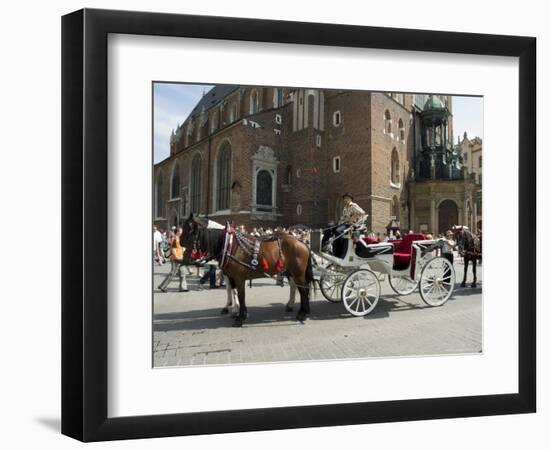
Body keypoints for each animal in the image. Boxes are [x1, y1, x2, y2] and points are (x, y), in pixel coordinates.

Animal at [182, 215, 314, 326]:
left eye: (190, 232)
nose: (183, 259)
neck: (230, 245)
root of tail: (301, 242)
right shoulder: (230, 276)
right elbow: (232, 291)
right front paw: (233, 309)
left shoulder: (239, 278)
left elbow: (240, 295)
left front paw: (239, 316)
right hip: (290, 271)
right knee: (297, 287)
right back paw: (298, 308)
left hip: (298, 273)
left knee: (303, 290)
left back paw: (302, 313)